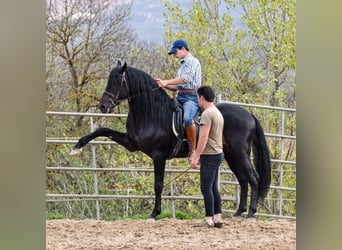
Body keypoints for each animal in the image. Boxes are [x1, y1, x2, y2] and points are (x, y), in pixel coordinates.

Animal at [71, 61, 272, 220]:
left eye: (116, 81)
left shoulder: (158, 156)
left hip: (239, 153)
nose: (103, 106)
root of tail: (249, 114)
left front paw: (154, 213)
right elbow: (103, 130)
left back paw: (251, 213)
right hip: (231, 155)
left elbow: (158, 185)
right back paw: (239, 212)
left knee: (253, 178)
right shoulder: (130, 143)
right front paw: (77, 146)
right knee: (243, 179)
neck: (152, 112)